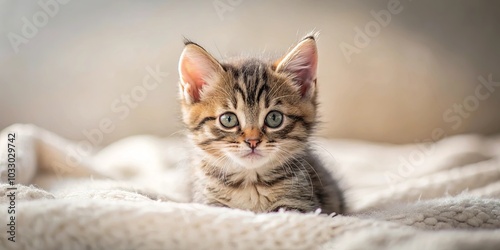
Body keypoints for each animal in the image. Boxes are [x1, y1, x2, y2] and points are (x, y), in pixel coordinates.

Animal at [178, 34, 346, 215]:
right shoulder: (208, 201)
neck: (250, 183)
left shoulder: (300, 204)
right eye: (228, 119)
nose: (252, 141)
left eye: (274, 118)